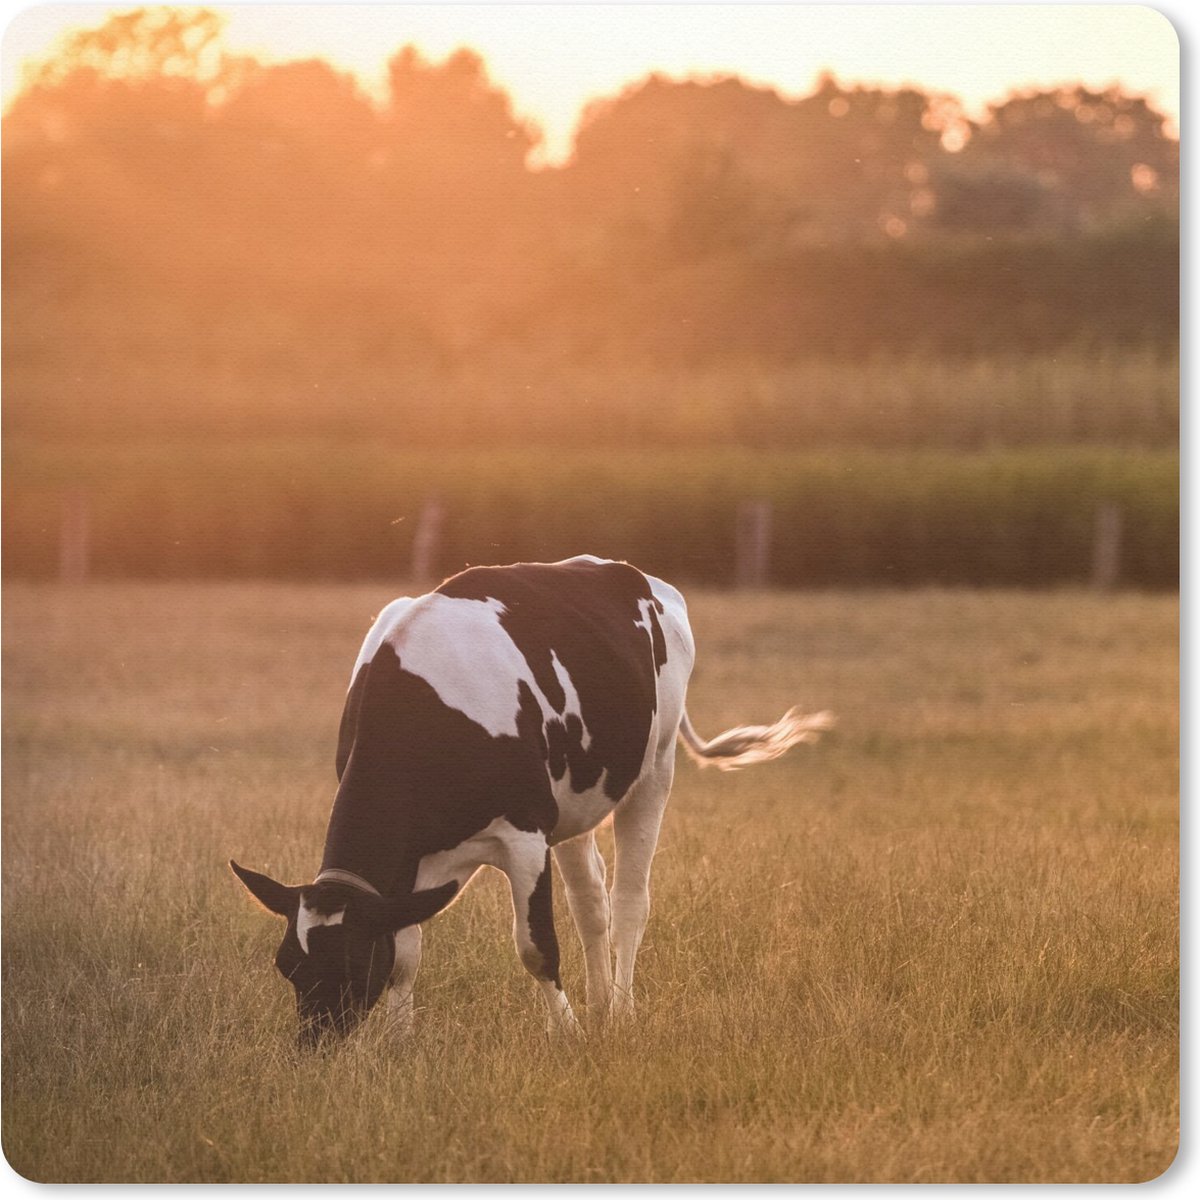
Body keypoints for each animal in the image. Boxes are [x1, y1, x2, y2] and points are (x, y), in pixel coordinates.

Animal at [231, 555, 832, 1047]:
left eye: (352, 963)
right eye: (287, 965)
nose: (314, 1045)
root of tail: (634, 573)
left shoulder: (524, 834)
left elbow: (536, 946)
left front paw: (565, 1033)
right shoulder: (410, 867)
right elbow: (405, 950)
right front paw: (400, 1042)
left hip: (654, 772)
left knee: (629, 900)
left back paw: (623, 1011)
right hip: (576, 805)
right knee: (592, 902)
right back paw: (600, 1006)